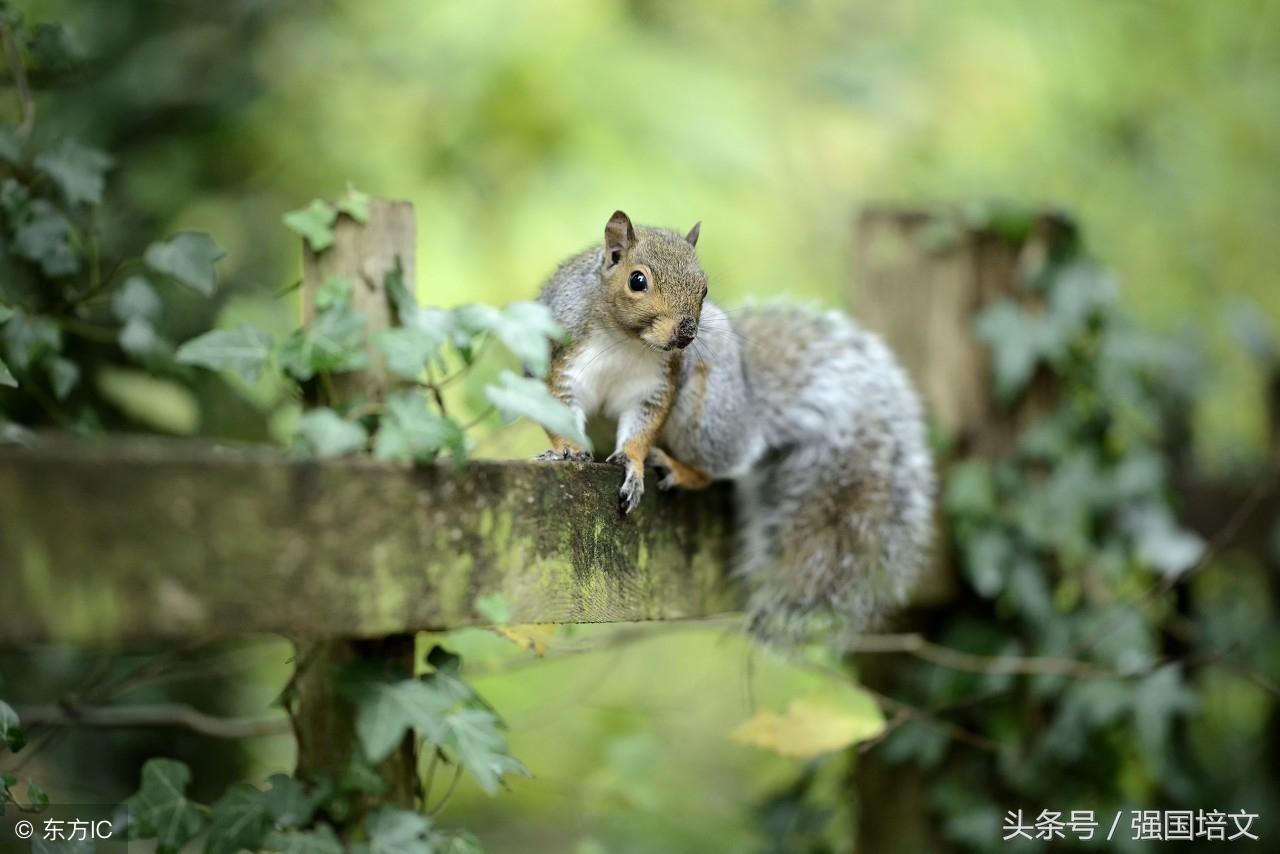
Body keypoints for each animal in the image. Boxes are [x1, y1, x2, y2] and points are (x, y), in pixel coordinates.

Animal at [535, 209, 936, 645]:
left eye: (705, 288)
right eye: (637, 280)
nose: (686, 334)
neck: (625, 340)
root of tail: (749, 414)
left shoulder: (658, 384)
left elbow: (642, 428)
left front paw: (633, 462)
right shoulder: (564, 356)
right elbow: (557, 404)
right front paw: (566, 450)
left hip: (707, 418)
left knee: (722, 466)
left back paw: (678, 468)